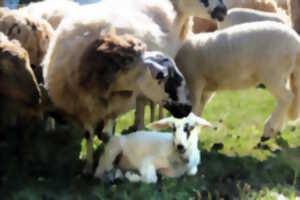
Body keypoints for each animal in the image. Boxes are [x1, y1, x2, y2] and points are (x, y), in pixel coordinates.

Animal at [43, 0, 227, 173]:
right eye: (163, 76)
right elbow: (89, 134)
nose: (224, 10)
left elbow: (107, 135)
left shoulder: (113, 104)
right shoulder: (83, 106)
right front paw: (88, 166)